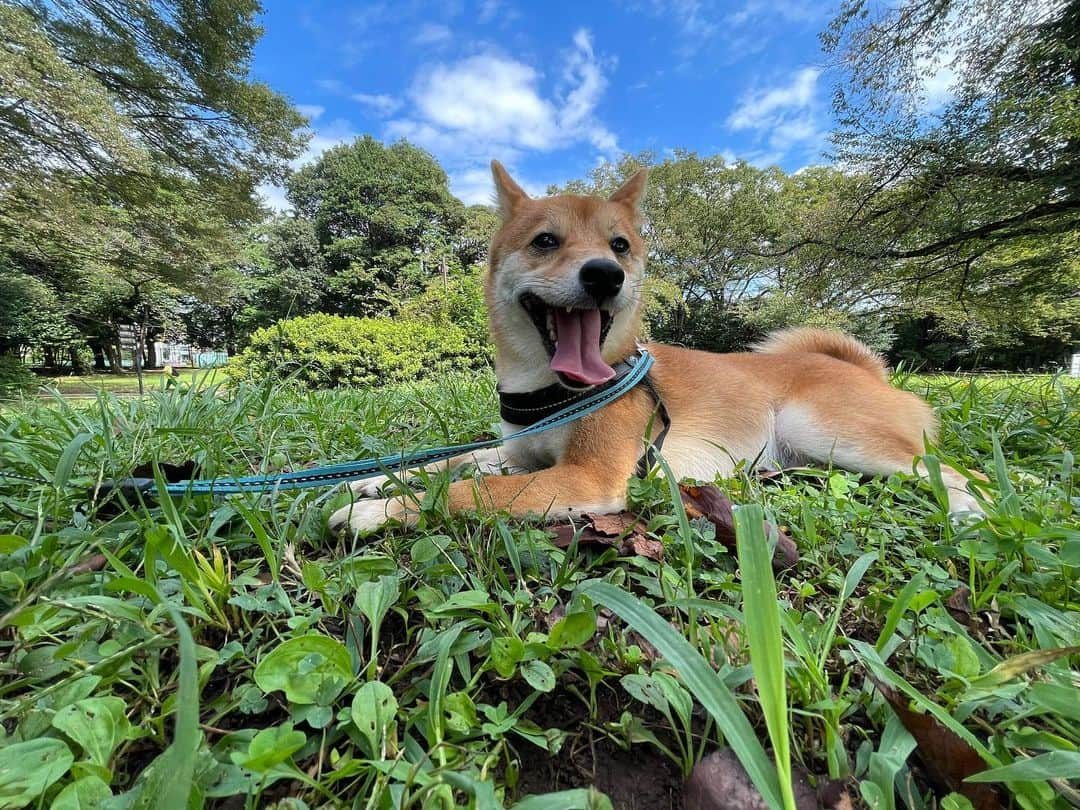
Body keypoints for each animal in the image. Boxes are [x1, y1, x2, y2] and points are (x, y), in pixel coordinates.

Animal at [328, 162, 989, 535]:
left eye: (619, 246)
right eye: (546, 241)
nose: (605, 275)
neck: (549, 388)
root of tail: (867, 371)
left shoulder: (587, 476)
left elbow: (467, 491)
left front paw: (379, 512)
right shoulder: (519, 455)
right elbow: (448, 464)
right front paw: (371, 483)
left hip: (834, 432)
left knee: (960, 469)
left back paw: (975, 508)